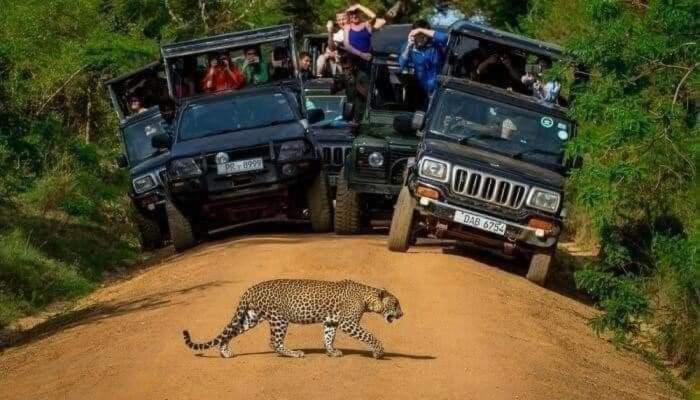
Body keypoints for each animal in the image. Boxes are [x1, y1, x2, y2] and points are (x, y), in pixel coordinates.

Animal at [180, 278, 402, 360]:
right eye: (395, 304)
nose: (402, 314)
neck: (367, 298)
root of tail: (251, 288)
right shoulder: (349, 323)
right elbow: (369, 336)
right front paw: (379, 352)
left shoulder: (331, 321)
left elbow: (328, 337)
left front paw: (331, 351)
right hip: (279, 319)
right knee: (274, 342)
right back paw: (294, 353)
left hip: (251, 317)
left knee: (230, 332)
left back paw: (225, 352)